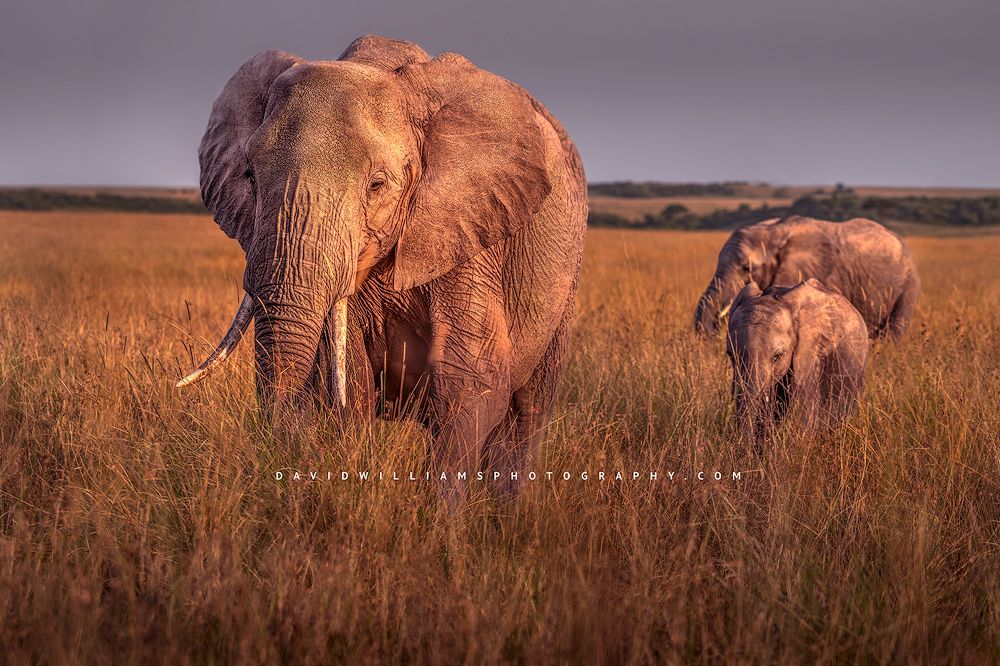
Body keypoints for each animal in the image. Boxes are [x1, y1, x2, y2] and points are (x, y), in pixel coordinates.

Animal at [176, 35, 588, 498]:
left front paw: (441, 513)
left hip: (564, 282)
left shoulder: (472, 229)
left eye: (377, 184)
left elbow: (471, 376)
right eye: (248, 176)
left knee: (527, 412)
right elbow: (347, 374)